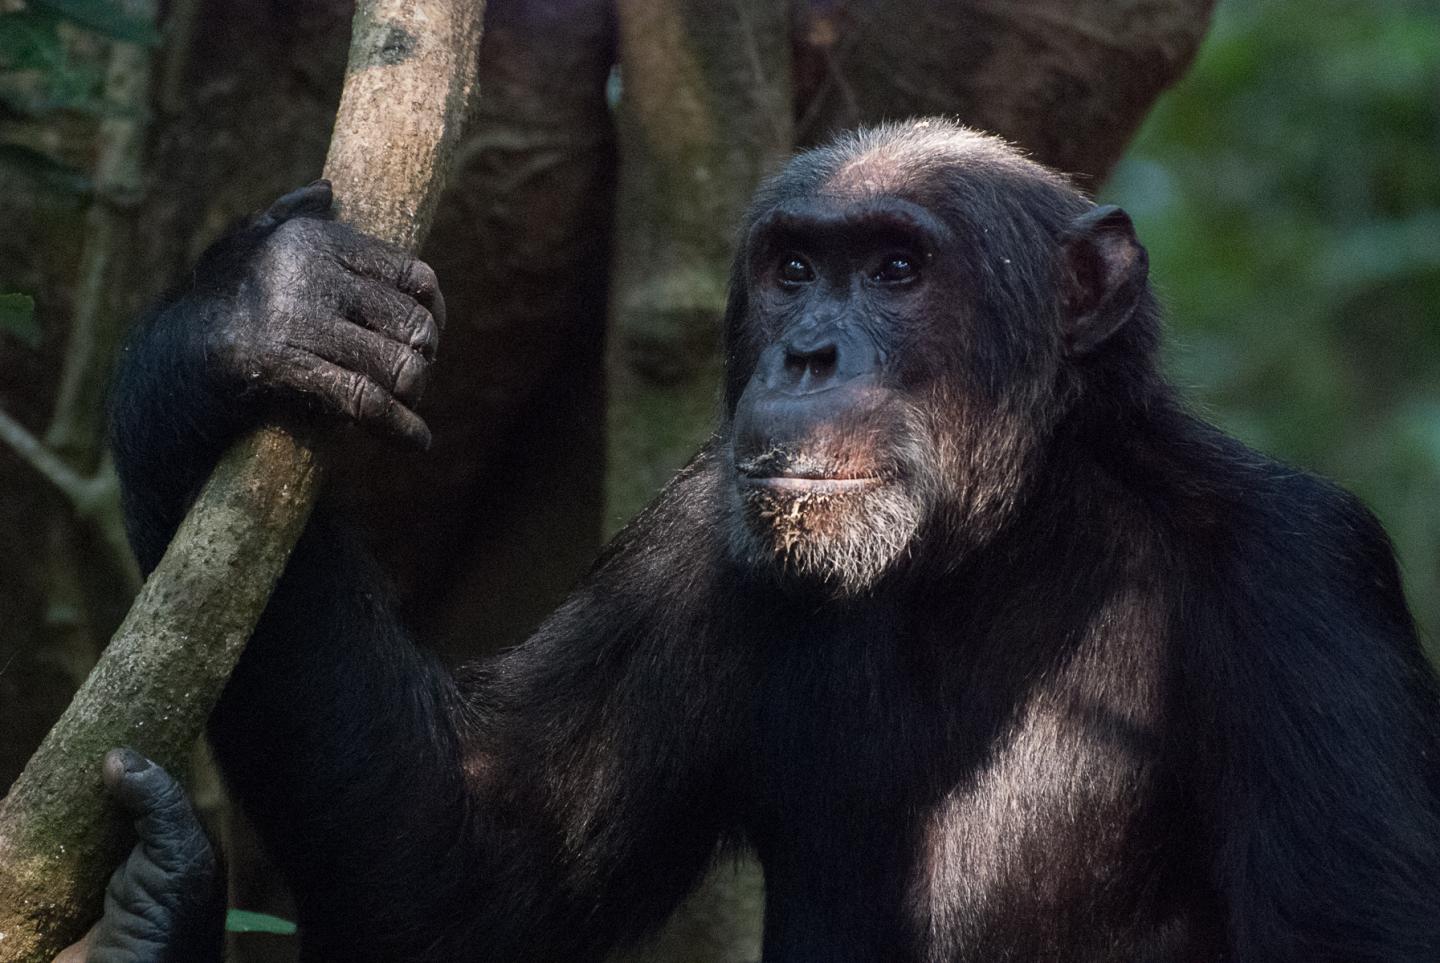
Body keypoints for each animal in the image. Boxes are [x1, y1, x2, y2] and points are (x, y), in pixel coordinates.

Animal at [87, 122, 1440, 961]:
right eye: (795, 269)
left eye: (894, 268)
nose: (808, 353)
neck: (992, 551)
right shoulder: (694, 547)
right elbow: (466, 861)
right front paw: (252, 317)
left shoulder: (1305, 583)